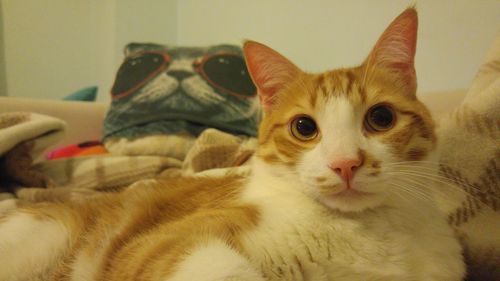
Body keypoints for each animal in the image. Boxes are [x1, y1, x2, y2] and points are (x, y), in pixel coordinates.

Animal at [0, 8, 464, 280]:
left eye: (381, 118)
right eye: (304, 127)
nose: (345, 163)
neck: (364, 233)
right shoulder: (166, 244)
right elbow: (224, 268)